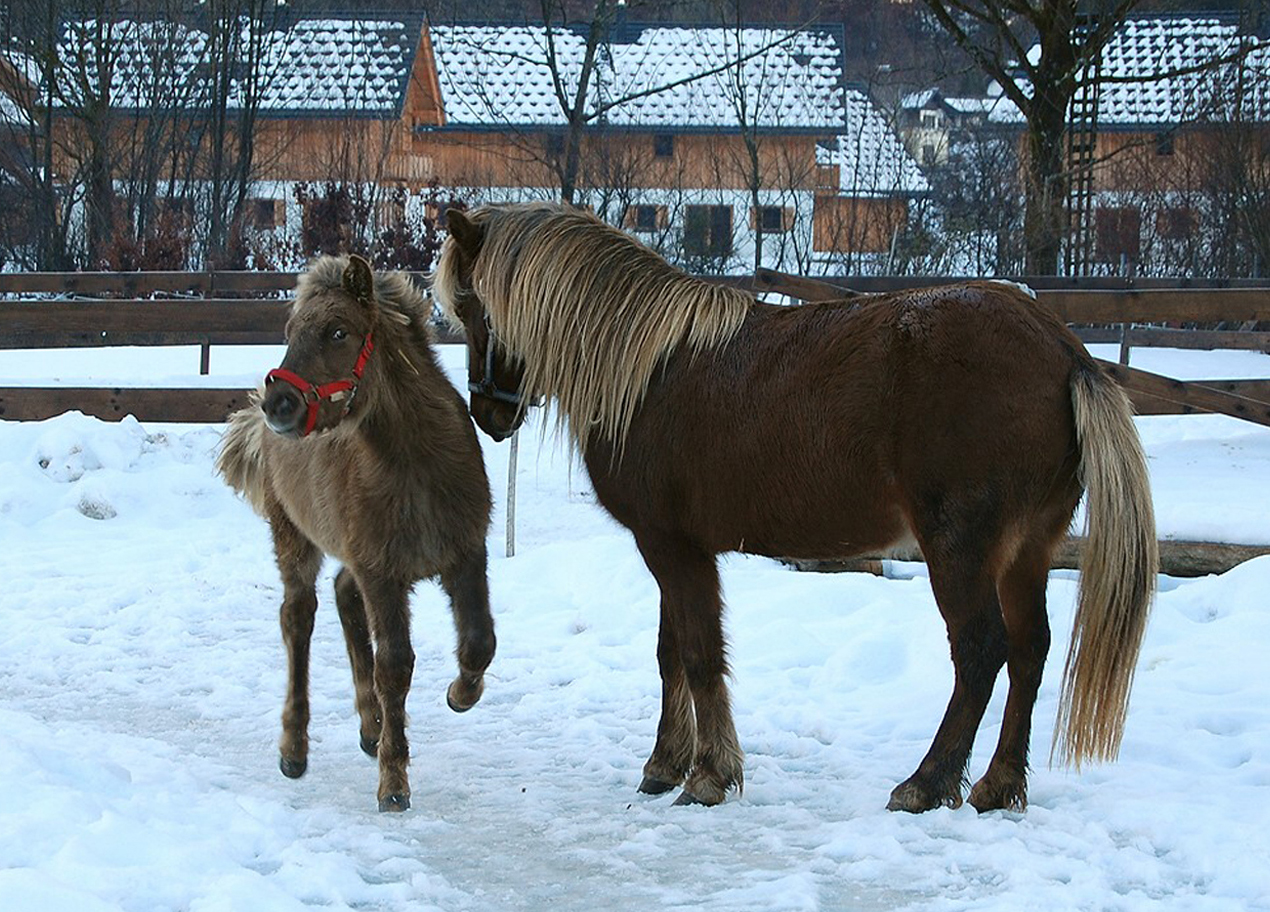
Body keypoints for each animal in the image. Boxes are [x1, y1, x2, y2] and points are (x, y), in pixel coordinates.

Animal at [218, 251, 495, 812]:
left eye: (338, 331)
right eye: (290, 332)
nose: (280, 404)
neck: (415, 466)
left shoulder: (465, 555)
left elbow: (479, 641)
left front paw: (460, 694)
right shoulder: (382, 574)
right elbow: (395, 665)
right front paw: (394, 782)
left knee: (345, 597)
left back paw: (370, 726)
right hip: (294, 537)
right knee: (298, 617)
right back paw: (295, 748)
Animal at [436, 205, 1163, 812]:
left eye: (472, 307)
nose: (488, 414)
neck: (646, 369)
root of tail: (1065, 352)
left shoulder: (670, 546)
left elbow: (699, 654)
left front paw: (709, 775)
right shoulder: (675, 545)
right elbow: (672, 654)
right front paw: (666, 764)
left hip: (960, 547)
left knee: (983, 650)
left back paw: (927, 782)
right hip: (1028, 549)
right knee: (1031, 649)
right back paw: (997, 784)